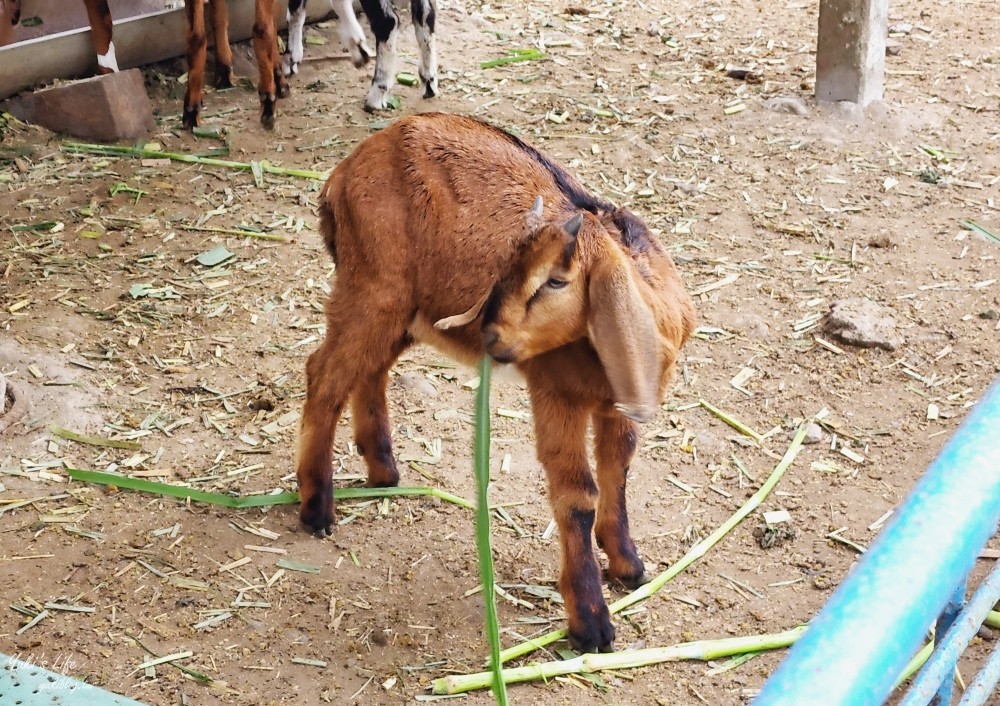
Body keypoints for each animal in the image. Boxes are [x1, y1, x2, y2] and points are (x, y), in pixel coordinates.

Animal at [296, 113, 696, 652]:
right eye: (512, 265)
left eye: (557, 280)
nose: (490, 334)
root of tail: (341, 174)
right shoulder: (556, 394)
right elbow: (578, 495)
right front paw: (591, 623)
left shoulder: (616, 403)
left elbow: (620, 468)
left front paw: (628, 563)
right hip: (371, 290)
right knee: (324, 374)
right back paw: (316, 508)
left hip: (405, 311)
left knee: (370, 370)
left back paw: (383, 470)